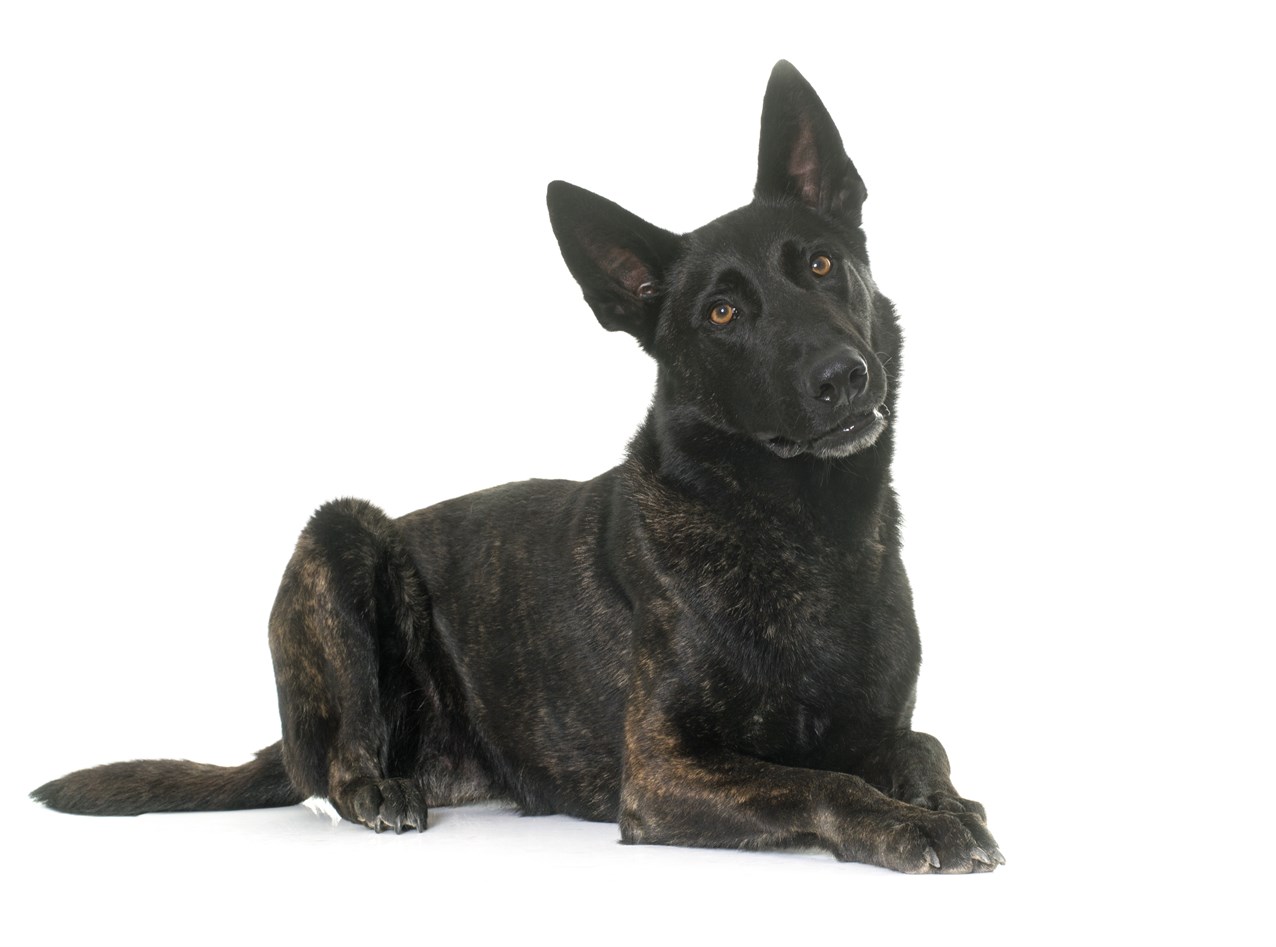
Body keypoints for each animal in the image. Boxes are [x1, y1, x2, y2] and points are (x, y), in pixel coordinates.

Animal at [34, 59, 1000, 872]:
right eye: (722, 313)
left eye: (822, 263)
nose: (843, 376)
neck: (805, 523)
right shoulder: (664, 772)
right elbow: (817, 780)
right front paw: (910, 823)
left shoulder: (878, 725)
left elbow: (923, 745)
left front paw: (947, 803)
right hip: (341, 535)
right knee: (335, 769)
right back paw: (379, 788)